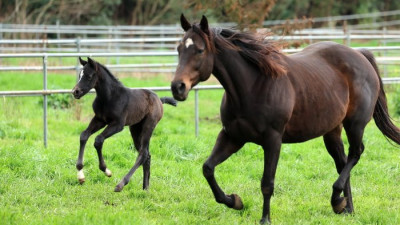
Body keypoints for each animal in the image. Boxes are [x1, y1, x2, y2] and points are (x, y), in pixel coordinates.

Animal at [172, 14, 400, 224]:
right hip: (332, 130)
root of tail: (359, 55)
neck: (252, 86)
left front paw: (265, 219)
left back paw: (337, 201)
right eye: (179, 49)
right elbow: (208, 168)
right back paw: (347, 208)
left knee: (355, 154)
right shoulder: (232, 137)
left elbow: (267, 183)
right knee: (343, 163)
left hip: (355, 124)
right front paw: (234, 201)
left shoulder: (273, 140)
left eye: (200, 50)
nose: (177, 87)